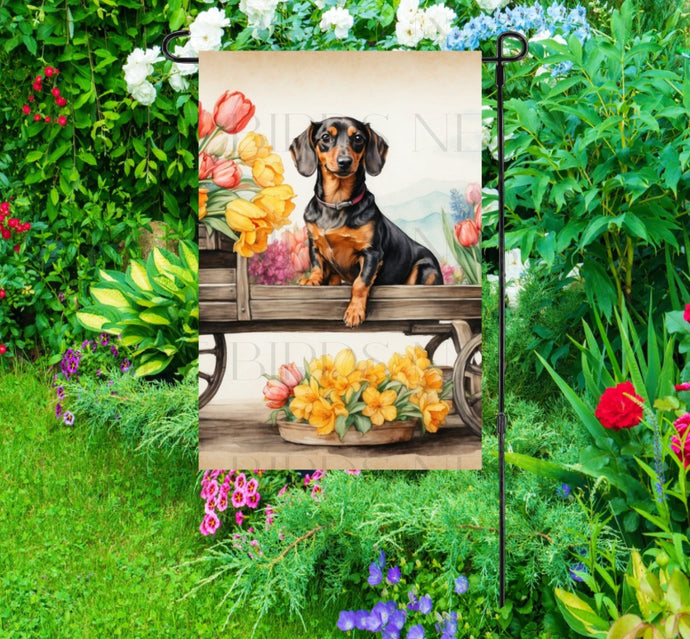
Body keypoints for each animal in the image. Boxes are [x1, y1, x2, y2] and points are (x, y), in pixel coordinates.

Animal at [288, 115, 440, 328]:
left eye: (358, 138)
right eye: (325, 137)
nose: (344, 161)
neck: (337, 204)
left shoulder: (372, 253)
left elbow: (360, 283)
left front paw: (354, 312)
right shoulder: (314, 244)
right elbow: (317, 265)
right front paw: (313, 279)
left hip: (425, 269)